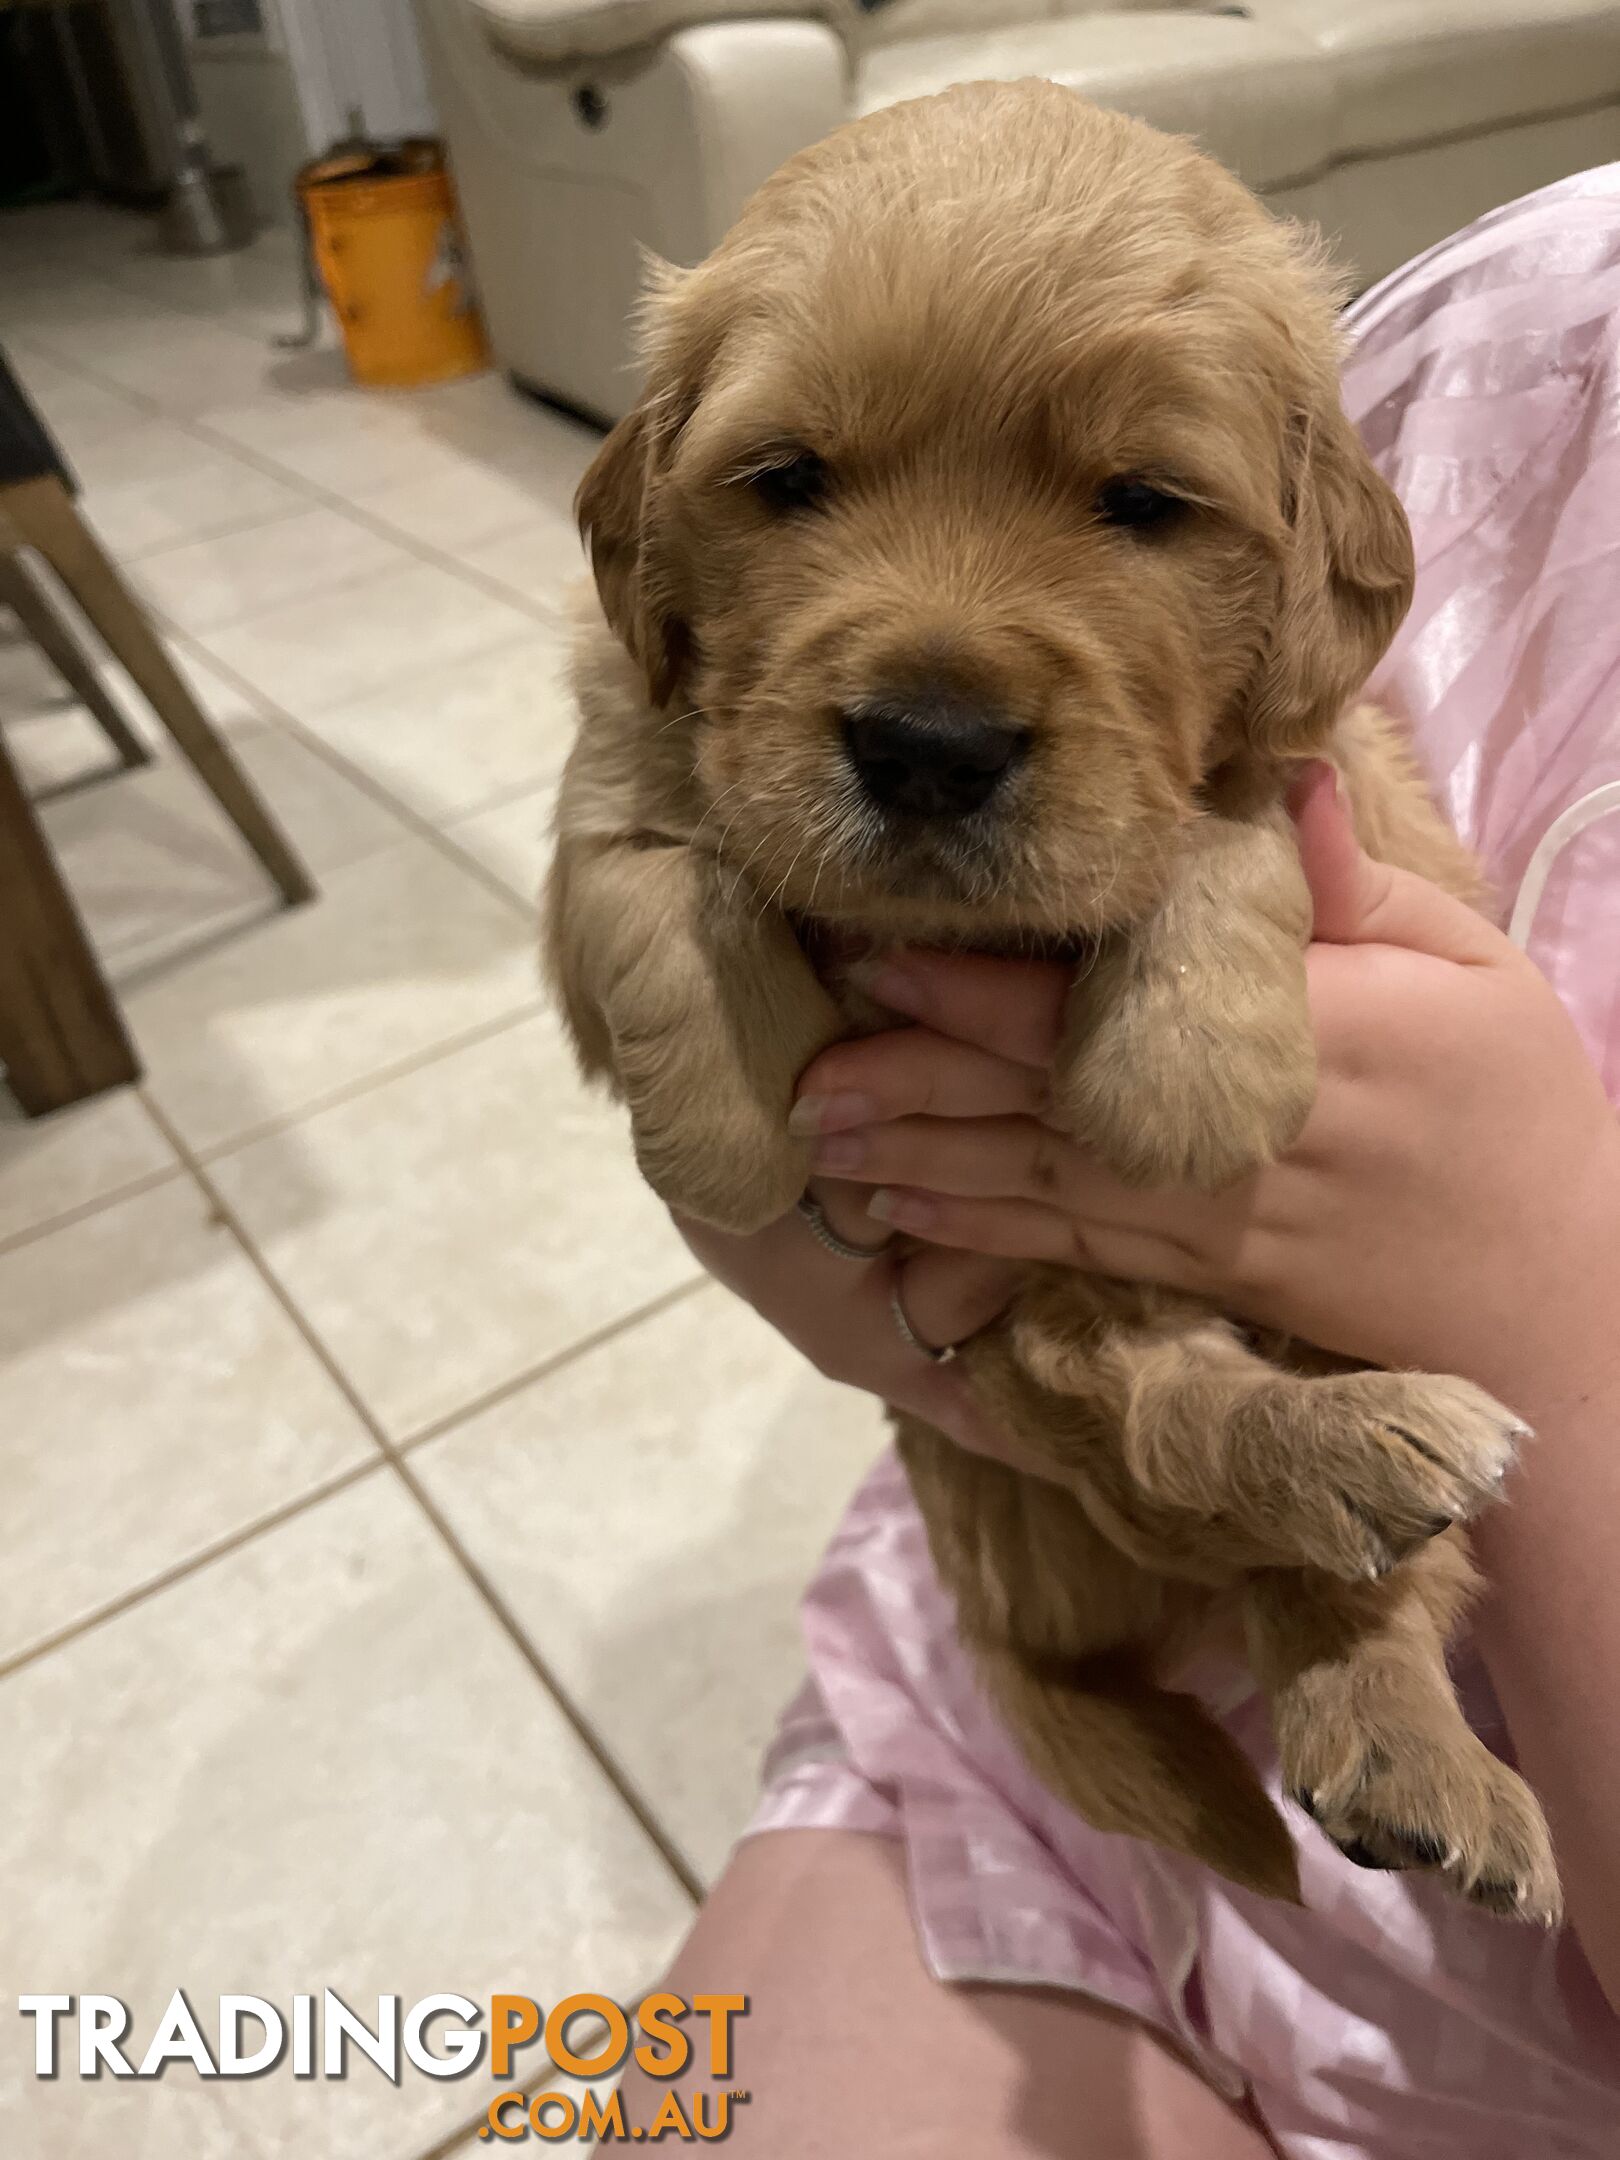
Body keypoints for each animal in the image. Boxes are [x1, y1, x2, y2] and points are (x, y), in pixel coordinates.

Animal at [552, 76, 1563, 1918]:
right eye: (786, 480)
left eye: (1145, 504)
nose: (928, 744)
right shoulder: (614, 761)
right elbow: (670, 867)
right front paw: (729, 1127)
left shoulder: (1318, 759)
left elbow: (1227, 815)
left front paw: (1184, 1080)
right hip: (1033, 1347)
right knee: (1165, 1439)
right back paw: (1360, 1477)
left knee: (1332, 1578)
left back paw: (1410, 1723)